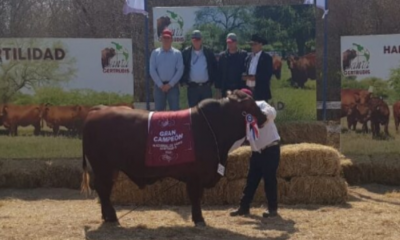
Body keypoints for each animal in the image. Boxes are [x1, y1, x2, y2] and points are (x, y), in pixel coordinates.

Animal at [79, 90, 268, 227]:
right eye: (251, 105)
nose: (265, 116)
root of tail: (98, 109)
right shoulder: (195, 176)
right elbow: (195, 197)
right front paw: (199, 219)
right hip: (104, 167)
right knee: (103, 189)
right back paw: (112, 217)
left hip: (109, 169)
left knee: (104, 191)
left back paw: (107, 217)